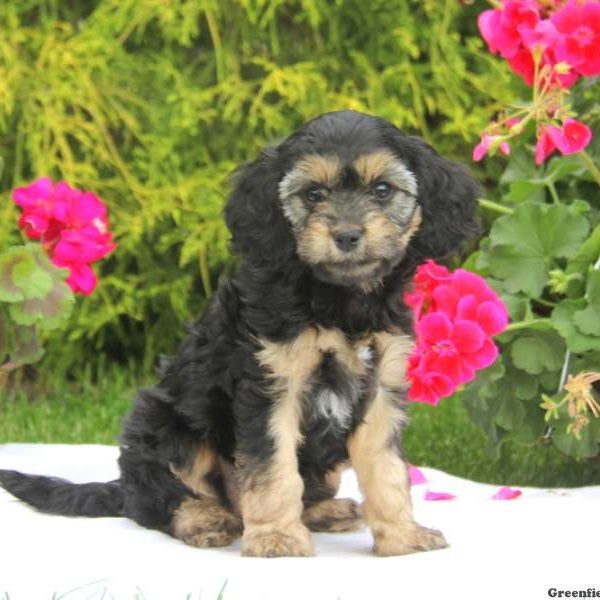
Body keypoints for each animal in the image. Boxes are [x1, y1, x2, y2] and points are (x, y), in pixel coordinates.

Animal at [0, 110, 478, 556]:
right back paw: (205, 519)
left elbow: (387, 470)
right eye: (313, 194)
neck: (339, 299)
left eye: (382, 190)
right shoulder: (271, 385)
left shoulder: (380, 390)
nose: (346, 235)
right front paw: (278, 538)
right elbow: (273, 470)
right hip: (165, 427)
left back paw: (327, 511)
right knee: (156, 498)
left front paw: (402, 537)